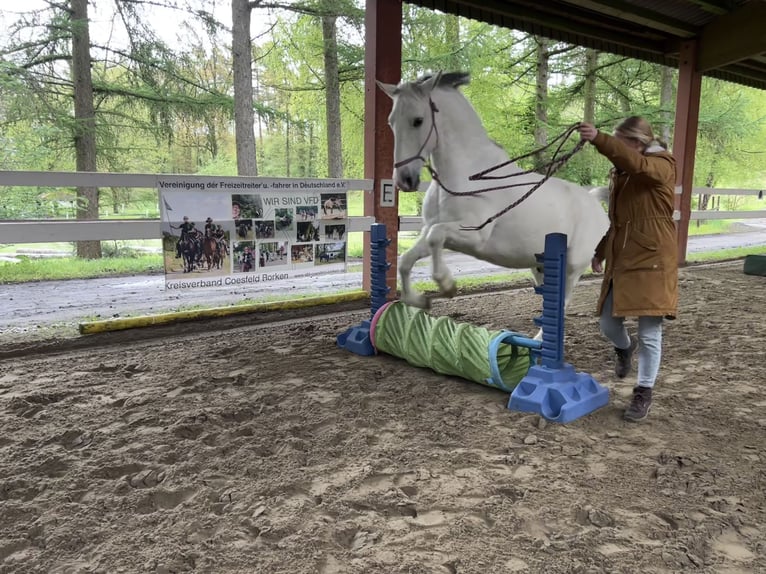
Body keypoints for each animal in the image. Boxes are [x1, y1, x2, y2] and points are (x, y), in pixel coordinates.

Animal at [380, 72, 612, 332]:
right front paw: (419, 300)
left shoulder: (473, 235)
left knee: (562, 304)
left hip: (572, 267)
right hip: (541, 267)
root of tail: (594, 203)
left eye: (418, 121)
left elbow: (436, 236)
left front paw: (447, 285)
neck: (467, 178)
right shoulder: (431, 231)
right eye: (391, 122)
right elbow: (406, 259)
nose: (404, 180)